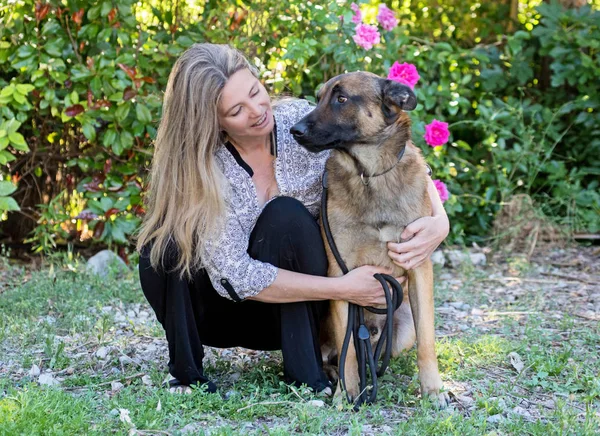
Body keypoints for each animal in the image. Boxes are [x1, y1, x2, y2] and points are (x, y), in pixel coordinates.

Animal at [290, 70, 450, 408]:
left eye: (341, 98)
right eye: (319, 97)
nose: (294, 130)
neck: (370, 174)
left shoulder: (419, 267)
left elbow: (427, 341)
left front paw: (432, 390)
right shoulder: (341, 275)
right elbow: (348, 349)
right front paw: (345, 394)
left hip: (402, 327)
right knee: (334, 354)